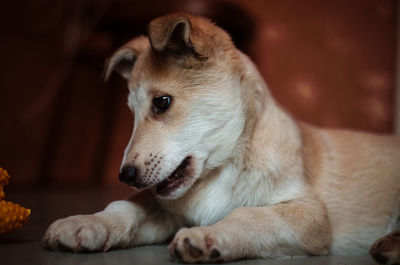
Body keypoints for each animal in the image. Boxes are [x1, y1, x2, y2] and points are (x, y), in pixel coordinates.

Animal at [43, 12, 400, 262]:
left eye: (162, 103)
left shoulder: (310, 215)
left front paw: (207, 237)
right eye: (131, 111)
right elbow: (125, 207)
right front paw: (86, 223)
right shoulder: (165, 207)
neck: (225, 166)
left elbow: (249, 215)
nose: (125, 176)